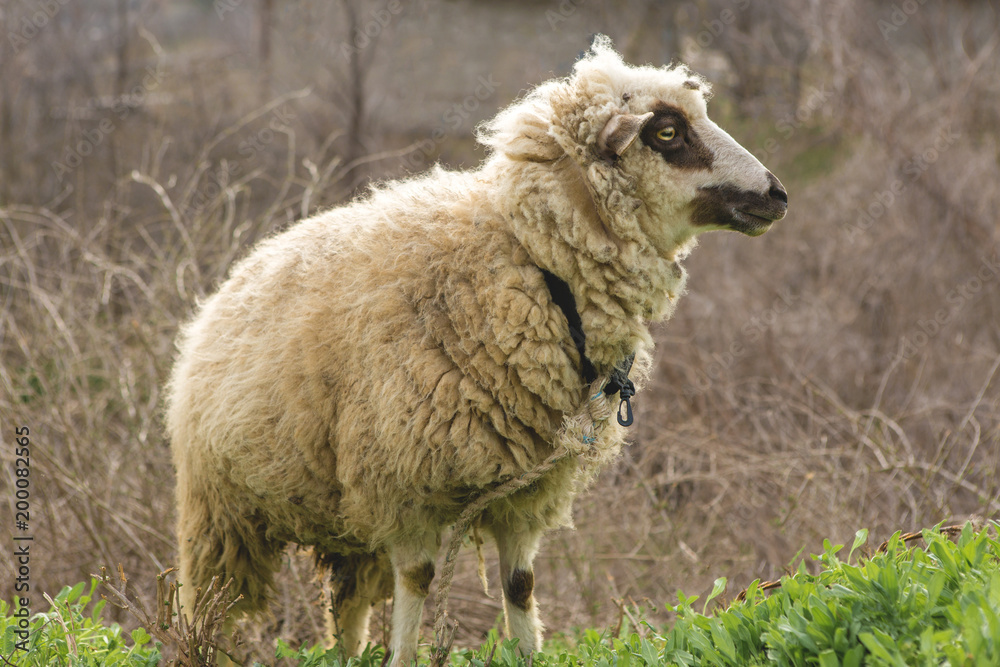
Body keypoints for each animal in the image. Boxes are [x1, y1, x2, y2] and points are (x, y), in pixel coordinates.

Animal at [165, 35, 787, 666]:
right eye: (666, 132)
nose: (776, 194)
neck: (532, 266)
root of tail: (234, 277)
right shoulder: (401, 484)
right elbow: (418, 580)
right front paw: (405, 656)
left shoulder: (526, 490)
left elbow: (520, 586)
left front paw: (529, 652)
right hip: (220, 513)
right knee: (211, 607)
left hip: (344, 516)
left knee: (346, 602)